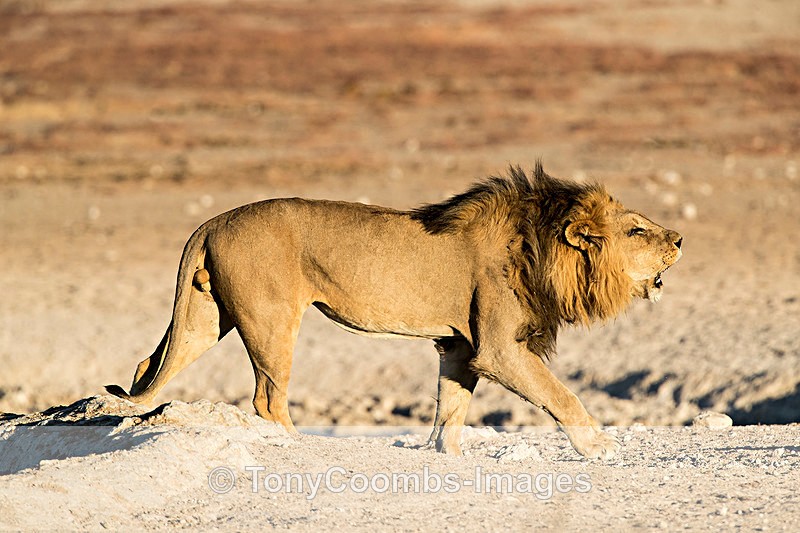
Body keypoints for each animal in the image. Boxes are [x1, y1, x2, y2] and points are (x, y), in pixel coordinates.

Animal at [106, 162, 682, 460]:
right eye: (636, 230)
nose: (679, 238)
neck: (541, 247)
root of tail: (214, 219)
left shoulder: (461, 345)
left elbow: (451, 408)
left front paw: (444, 457)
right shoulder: (498, 348)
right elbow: (561, 395)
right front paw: (599, 446)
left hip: (206, 316)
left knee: (149, 364)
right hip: (271, 319)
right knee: (267, 398)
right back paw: (301, 448)